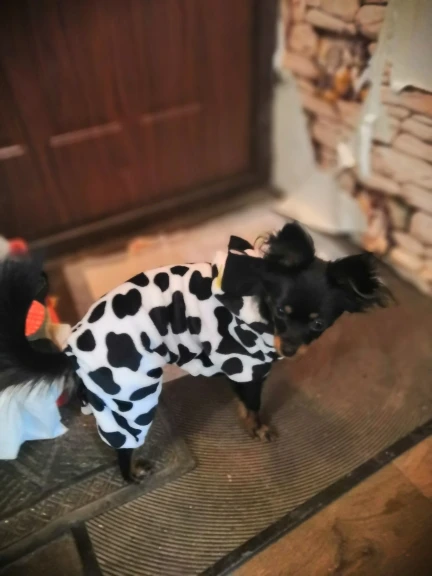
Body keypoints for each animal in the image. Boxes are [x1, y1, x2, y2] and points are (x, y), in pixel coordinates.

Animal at [0, 223, 392, 482]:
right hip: (131, 396)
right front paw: (258, 428)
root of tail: (70, 348)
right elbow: (254, 404)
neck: (252, 297)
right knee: (122, 445)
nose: (290, 348)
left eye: (317, 323)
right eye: (281, 311)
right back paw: (133, 472)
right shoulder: (250, 367)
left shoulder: (238, 368)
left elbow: (242, 398)